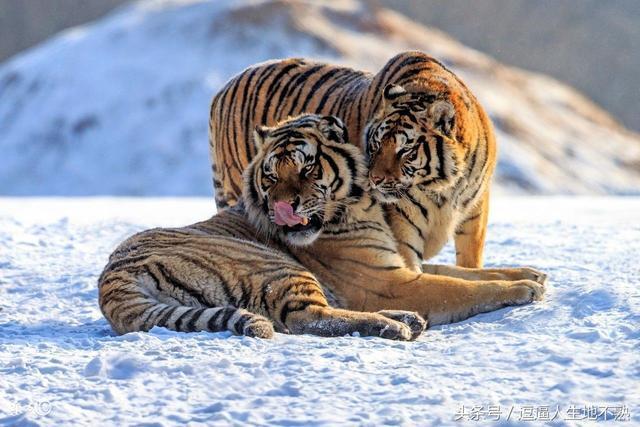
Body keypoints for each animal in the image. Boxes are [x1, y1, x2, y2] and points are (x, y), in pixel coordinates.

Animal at [99, 114, 545, 339]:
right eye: (271, 175)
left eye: (307, 169)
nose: (283, 208)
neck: (364, 206)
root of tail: (112, 280)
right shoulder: (386, 280)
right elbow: (464, 286)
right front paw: (525, 289)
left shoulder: (402, 264)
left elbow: (465, 272)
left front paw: (530, 272)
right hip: (276, 267)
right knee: (306, 318)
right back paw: (395, 325)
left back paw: (406, 319)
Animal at [209, 50, 501, 276]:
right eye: (375, 144)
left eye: (405, 150)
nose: (374, 180)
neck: (443, 187)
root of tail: (224, 88)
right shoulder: (401, 227)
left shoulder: (475, 210)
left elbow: (470, 259)